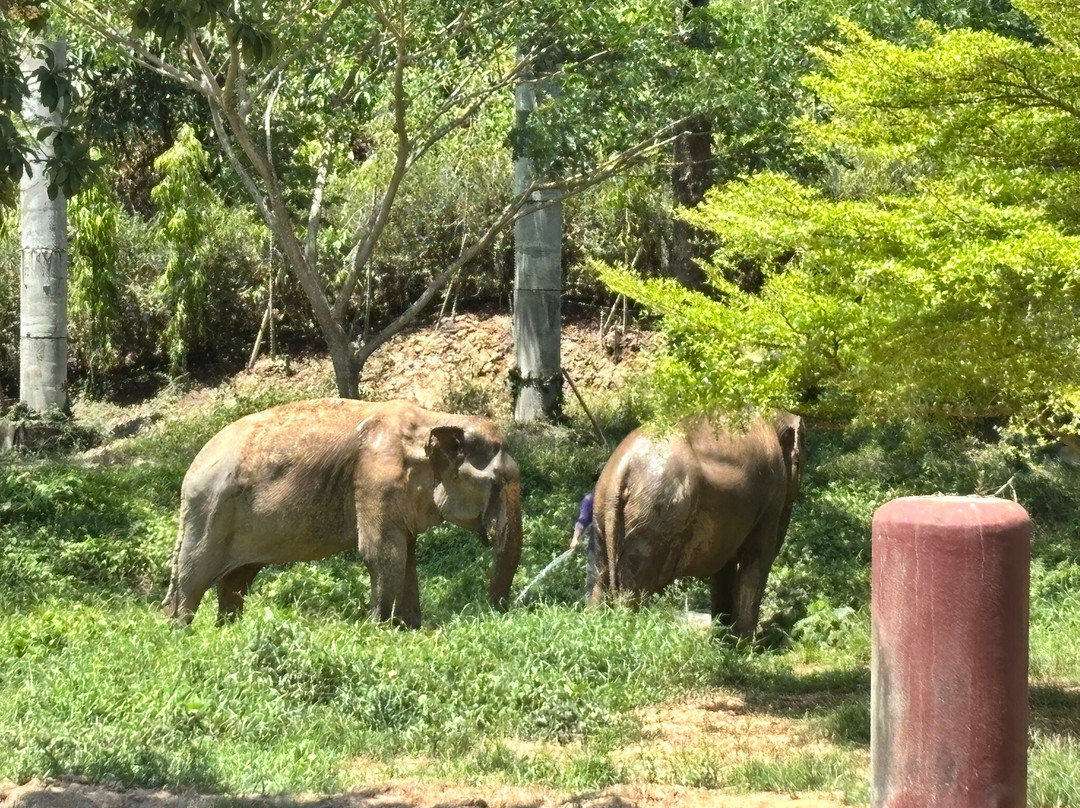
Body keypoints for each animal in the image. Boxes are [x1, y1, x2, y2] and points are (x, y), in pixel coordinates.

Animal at [162, 398, 522, 627]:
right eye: (495, 483)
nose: (497, 611)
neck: (434, 419)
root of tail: (188, 474)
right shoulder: (375, 481)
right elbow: (384, 554)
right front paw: (379, 630)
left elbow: (406, 556)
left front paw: (410, 629)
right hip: (210, 513)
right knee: (193, 578)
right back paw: (182, 633)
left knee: (236, 580)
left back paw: (228, 631)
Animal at [589, 412, 804, 637]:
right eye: (798, 462)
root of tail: (622, 469)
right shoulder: (772, 495)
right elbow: (758, 555)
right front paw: (744, 645)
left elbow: (724, 566)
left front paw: (723, 639)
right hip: (656, 517)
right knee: (633, 592)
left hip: (603, 512)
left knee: (598, 581)